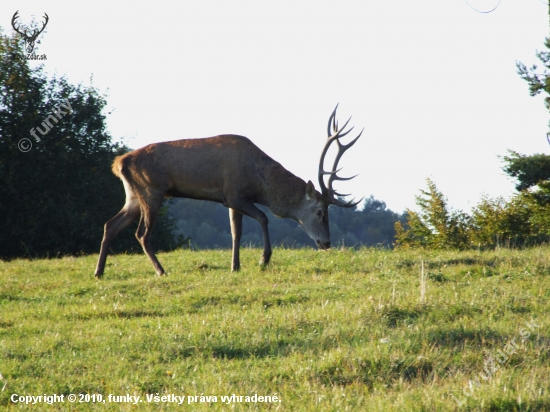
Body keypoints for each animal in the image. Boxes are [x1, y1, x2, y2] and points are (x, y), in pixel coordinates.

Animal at [94, 105, 362, 280]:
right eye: (319, 212)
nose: (326, 243)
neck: (259, 181)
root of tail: (119, 163)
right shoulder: (234, 194)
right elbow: (263, 218)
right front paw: (263, 259)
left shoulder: (231, 200)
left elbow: (236, 232)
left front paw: (235, 266)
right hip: (152, 191)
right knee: (142, 234)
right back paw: (161, 270)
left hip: (133, 195)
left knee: (110, 224)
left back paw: (99, 271)